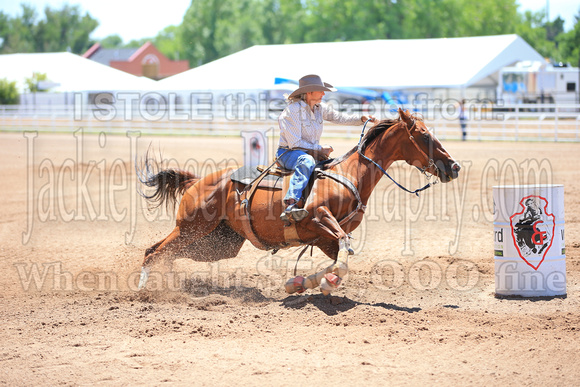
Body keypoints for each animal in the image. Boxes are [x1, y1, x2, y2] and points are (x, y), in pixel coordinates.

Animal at [136, 107, 462, 296]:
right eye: (423, 135)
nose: (454, 166)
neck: (349, 174)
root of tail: (196, 181)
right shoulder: (318, 216)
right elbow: (344, 250)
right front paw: (317, 283)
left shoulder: (323, 238)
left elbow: (340, 259)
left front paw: (305, 283)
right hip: (192, 229)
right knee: (154, 253)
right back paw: (144, 291)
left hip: (214, 243)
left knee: (162, 253)